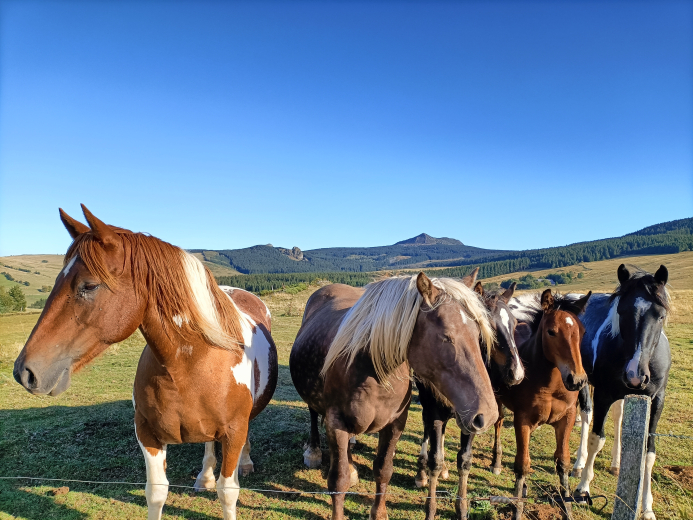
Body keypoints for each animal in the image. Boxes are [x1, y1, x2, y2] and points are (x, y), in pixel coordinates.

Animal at [13, 206, 276, 520]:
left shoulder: (234, 432)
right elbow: (156, 492)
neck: (189, 365)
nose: (24, 372)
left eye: (89, 286)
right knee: (208, 445)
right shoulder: (148, 433)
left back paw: (245, 464)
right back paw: (204, 477)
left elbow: (228, 492)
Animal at [290, 274, 498, 516]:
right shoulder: (336, 424)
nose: (487, 416)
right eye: (446, 337)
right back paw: (313, 452)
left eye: (478, 335)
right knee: (313, 415)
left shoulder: (395, 424)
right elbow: (338, 481)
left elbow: (383, 470)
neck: (372, 372)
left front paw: (379, 514)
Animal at [414, 278, 520, 516]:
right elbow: (435, 459)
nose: (517, 374)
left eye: (516, 324)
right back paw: (421, 472)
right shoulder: (435, 411)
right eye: (489, 327)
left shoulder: (473, 418)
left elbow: (464, 460)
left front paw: (461, 508)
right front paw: (430, 508)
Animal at [498, 288, 588, 520]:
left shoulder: (566, 419)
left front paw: (567, 509)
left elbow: (562, 463)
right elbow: (522, 465)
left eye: (582, 332)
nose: (577, 380)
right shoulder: (522, 420)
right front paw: (517, 510)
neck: (551, 386)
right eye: (551, 332)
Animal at [508, 266, 672, 516]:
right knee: (586, 415)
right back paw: (579, 464)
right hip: (586, 385)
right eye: (621, 312)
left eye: (660, 315)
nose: (635, 375)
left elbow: (649, 452)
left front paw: (647, 507)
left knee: (618, 416)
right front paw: (583, 487)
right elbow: (597, 438)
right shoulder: (603, 393)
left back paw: (616, 463)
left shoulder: (657, 400)